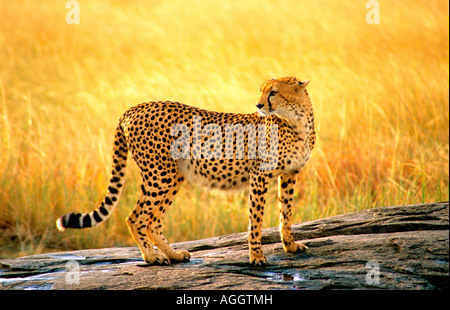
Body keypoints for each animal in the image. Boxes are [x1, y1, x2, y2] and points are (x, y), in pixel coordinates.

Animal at [57, 75, 316, 266]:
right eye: (262, 91)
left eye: (273, 92)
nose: (259, 105)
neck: (297, 122)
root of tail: (135, 107)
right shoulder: (260, 176)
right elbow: (256, 219)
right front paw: (257, 257)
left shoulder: (290, 174)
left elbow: (286, 212)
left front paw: (290, 245)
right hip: (159, 174)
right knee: (136, 217)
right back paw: (152, 257)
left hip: (173, 175)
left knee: (153, 221)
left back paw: (173, 254)